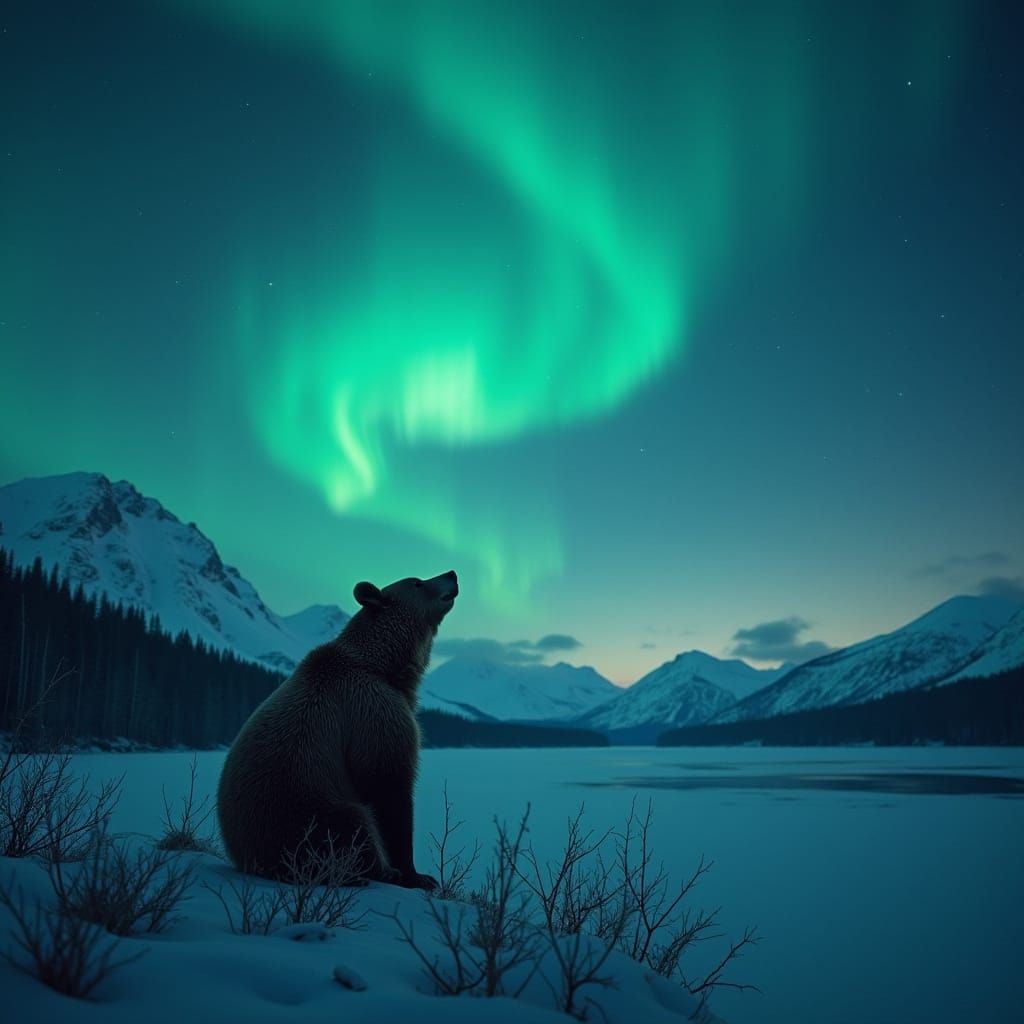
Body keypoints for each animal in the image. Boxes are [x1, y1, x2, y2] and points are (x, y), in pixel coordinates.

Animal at [216, 569, 459, 888]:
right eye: (417, 582)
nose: (451, 574)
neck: (386, 666)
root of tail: (245, 857)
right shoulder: (374, 712)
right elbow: (390, 789)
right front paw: (415, 874)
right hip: (306, 809)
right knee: (352, 826)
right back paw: (375, 871)